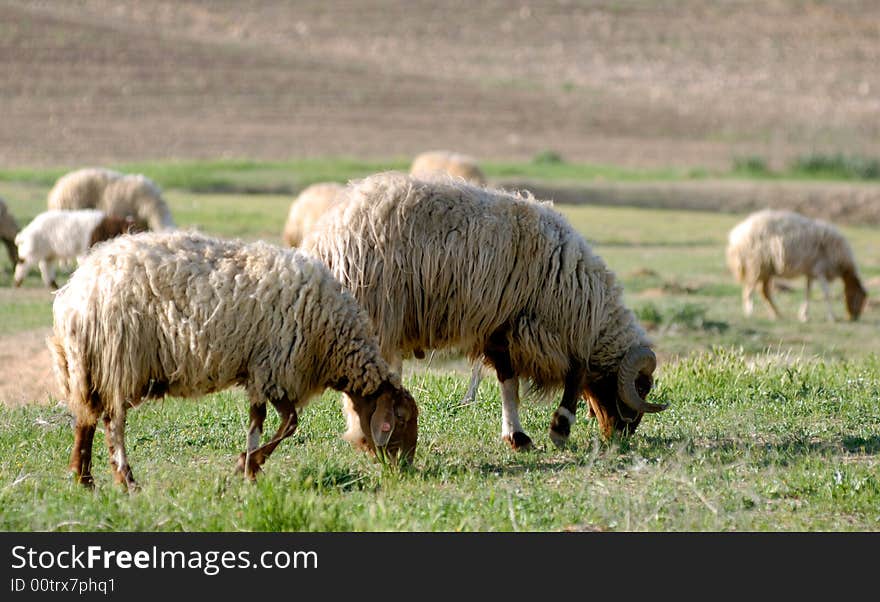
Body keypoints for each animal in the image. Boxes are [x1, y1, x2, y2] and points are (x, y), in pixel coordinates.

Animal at [12, 209, 146, 288]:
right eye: (135, 229)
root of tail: (24, 233)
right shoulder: (87, 250)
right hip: (32, 250)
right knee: (23, 263)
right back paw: (18, 282)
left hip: (49, 252)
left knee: (45, 266)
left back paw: (54, 285)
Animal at [48, 229, 420, 488]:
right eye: (401, 419)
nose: (406, 469)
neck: (333, 343)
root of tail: (75, 292)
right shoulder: (276, 369)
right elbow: (290, 423)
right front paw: (248, 463)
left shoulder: (259, 372)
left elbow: (258, 423)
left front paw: (250, 469)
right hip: (118, 358)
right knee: (113, 423)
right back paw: (126, 481)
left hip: (89, 365)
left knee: (86, 418)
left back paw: (83, 479)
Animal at [302, 171, 668, 448]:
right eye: (640, 389)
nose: (620, 436)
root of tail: (325, 238)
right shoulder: (547, 325)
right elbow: (574, 374)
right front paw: (559, 428)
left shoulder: (501, 328)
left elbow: (509, 383)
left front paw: (516, 436)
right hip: (377, 312)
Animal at [724, 209, 868, 322]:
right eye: (858, 299)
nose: (854, 318)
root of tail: (735, 236)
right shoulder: (820, 270)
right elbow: (826, 294)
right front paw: (832, 317)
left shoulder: (811, 272)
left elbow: (808, 293)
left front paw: (804, 315)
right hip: (756, 264)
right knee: (749, 289)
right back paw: (750, 312)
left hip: (767, 268)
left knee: (764, 292)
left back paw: (777, 314)